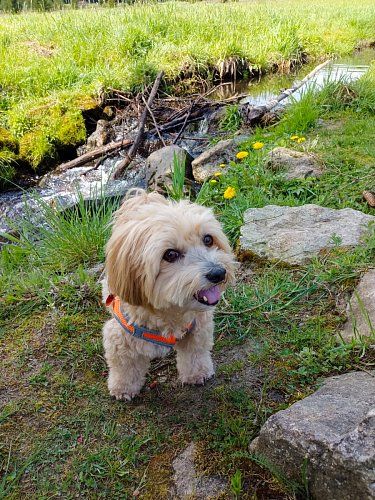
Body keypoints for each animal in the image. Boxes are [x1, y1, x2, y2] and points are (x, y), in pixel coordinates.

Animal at [102, 189, 235, 400]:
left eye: (208, 239)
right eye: (170, 255)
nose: (218, 273)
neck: (169, 314)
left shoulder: (199, 327)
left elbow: (195, 353)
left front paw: (197, 373)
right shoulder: (120, 338)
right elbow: (125, 367)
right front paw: (123, 388)